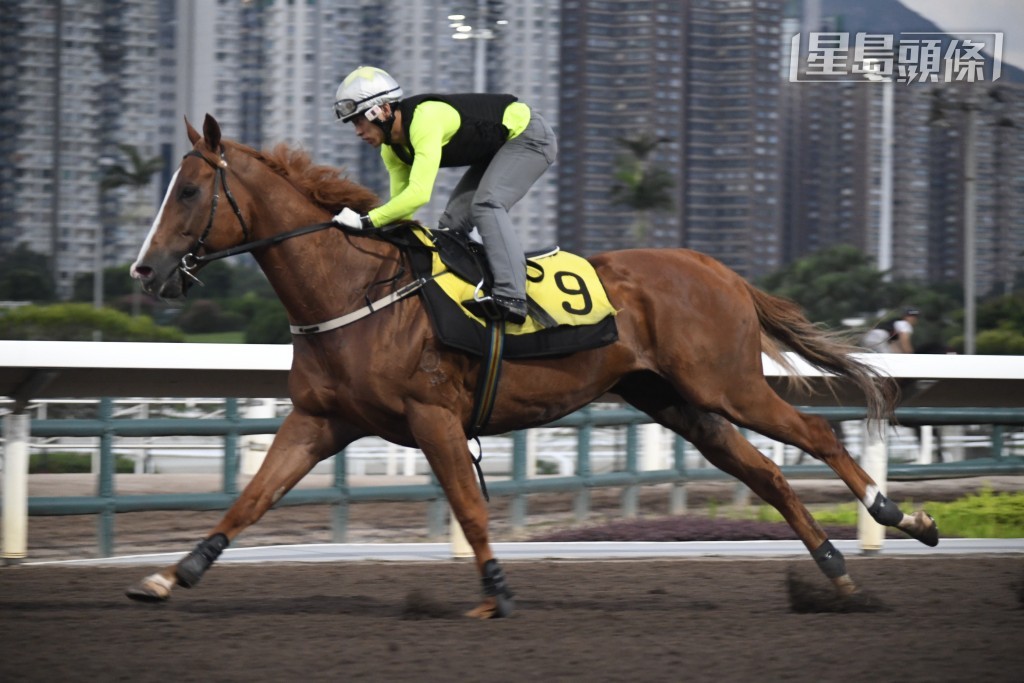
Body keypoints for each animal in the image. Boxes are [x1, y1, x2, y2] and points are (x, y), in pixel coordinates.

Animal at [125, 117, 937, 618]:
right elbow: (251, 498)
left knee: (817, 436)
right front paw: (171, 573)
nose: (145, 271)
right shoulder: (320, 419)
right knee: (766, 472)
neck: (355, 291)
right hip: (677, 401)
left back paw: (901, 517)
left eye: (189, 190)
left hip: (725, 384)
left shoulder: (433, 416)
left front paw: (495, 592)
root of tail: (721, 270)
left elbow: (470, 507)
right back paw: (835, 569)